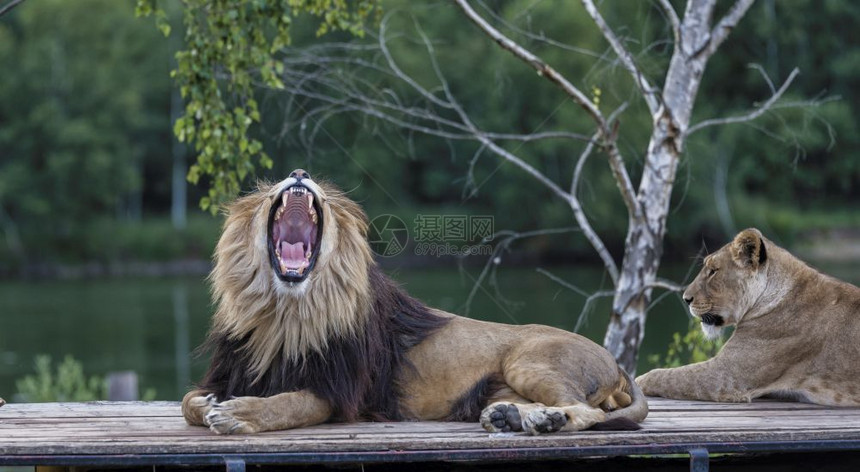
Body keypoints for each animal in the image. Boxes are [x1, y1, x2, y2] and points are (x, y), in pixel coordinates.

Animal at [185, 170, 648, 436]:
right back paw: (514, 418)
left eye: (326, 200)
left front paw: (238, 414)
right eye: (269, 194)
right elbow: (190, 402)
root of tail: (615, 362)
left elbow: (286, 405)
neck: (283, 312)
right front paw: (210, 404)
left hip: (530, 361)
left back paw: (550, 421)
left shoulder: (341, 394)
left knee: (585, 410)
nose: (298, 172)